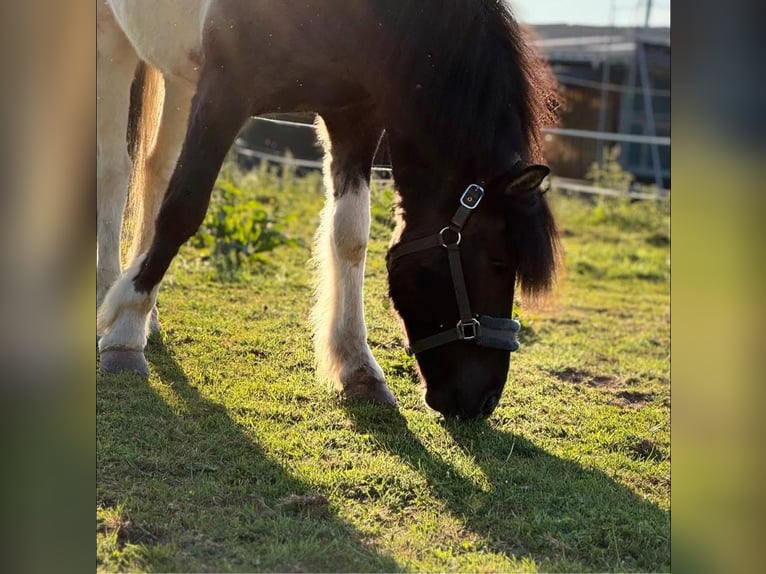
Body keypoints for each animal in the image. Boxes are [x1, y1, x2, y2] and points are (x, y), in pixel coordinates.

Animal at [97, 0, 559, 419]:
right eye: (499, 261)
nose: (485, 401)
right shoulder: (225, 91)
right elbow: (183, 208)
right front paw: (125, 331)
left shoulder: (354, 115)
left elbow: (350, 235)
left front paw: (359, 369)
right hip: (111, 37)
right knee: (115, 170)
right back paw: (110, 297)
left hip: (178, 72)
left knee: (155, 169)